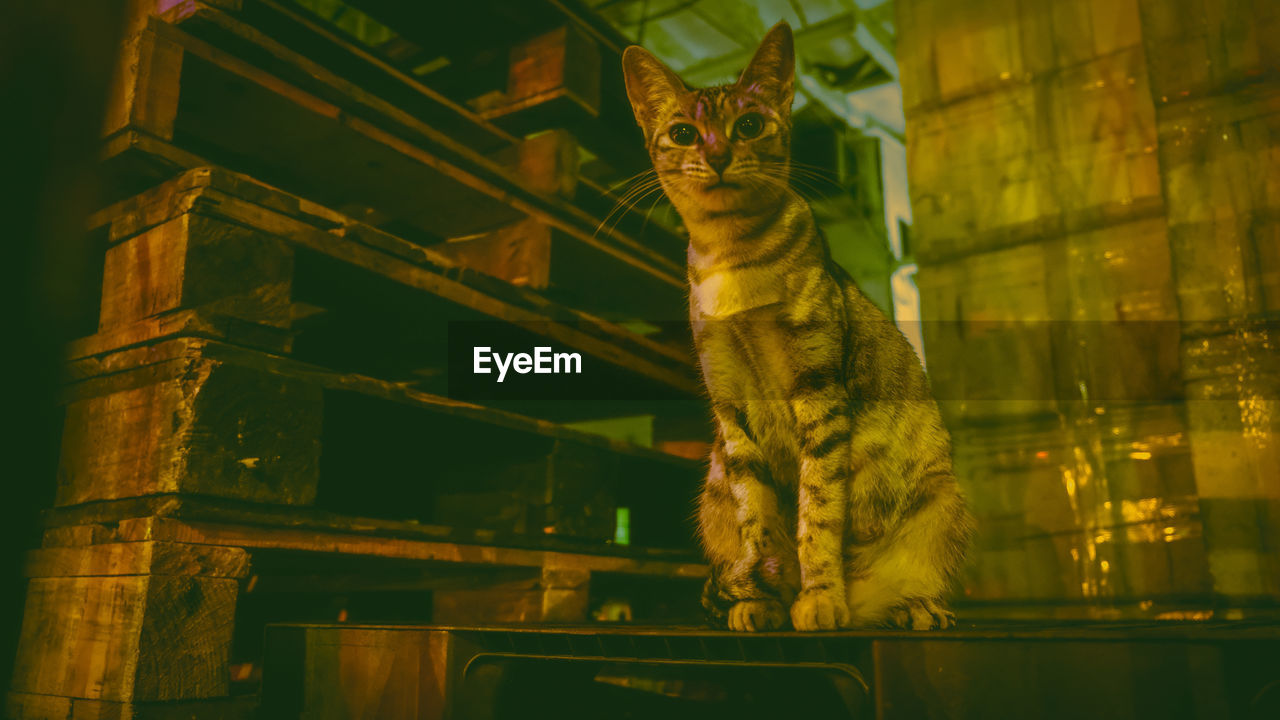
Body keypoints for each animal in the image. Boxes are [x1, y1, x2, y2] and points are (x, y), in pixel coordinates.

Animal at [619, 20, 967, 627]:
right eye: (684, 133)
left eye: (749, 124)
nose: (717, 155)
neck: (734, 257)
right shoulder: (732, 407)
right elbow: (758, 518)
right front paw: (764, 595)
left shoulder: (819, 390)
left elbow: (818, 509)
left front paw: (820, 594)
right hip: (711, 494)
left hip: (941, 498)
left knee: (910, 584)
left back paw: (910, 607)